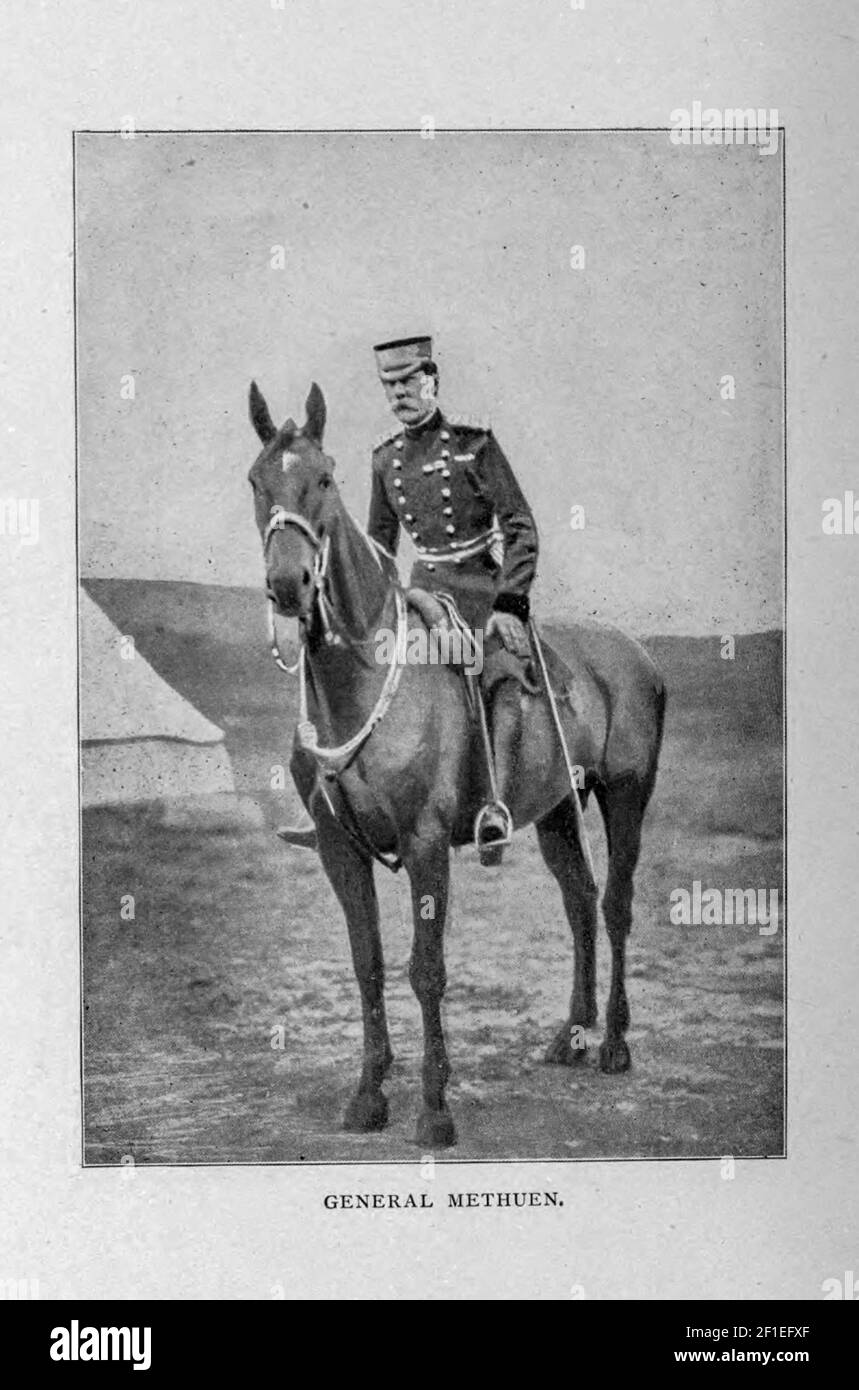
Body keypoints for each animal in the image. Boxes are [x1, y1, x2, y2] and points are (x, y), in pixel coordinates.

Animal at [246, 380, 661, 1150]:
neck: (360, 675)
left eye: (325, 478)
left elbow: (426, 970)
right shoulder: (338, 848)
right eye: (257, 483)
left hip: (626, 798)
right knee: (579, 902)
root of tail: (636, 655)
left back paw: (615, 1044)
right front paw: (367, 1095)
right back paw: (571, 1035)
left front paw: (435, 1109)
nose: (289, 585)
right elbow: (368, 964)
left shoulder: (426, 842)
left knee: (616, 906)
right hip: (557, 810)